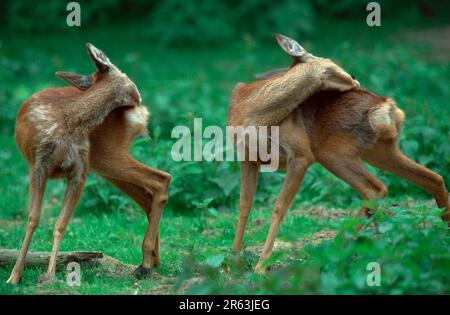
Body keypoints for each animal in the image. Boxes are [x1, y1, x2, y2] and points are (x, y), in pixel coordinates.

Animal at [7, 43, 171, 286]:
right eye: (123, 72)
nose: (139, 96)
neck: (62, 124)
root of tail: (141, 116)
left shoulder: (79, 168)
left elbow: (60, 224)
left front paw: (49, 275)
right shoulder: (37, 165)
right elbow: (33, 218)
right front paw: (15, 275)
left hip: (105, 157)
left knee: (161, 179)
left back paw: (146, 264)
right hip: (105, 161)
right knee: (149, 192)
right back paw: (151, 260)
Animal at [229, 33, 450, 272]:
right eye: (330, 60)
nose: (355, 78)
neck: (252, 115)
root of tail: (388, 108)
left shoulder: (301, 155)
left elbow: (279, 207)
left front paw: (261, 266)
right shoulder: (246, 157)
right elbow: (244, 205)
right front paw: (233, 261)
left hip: (333, 152)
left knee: (376, 189)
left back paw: (335, 250)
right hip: (378, 151)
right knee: (432, 178)